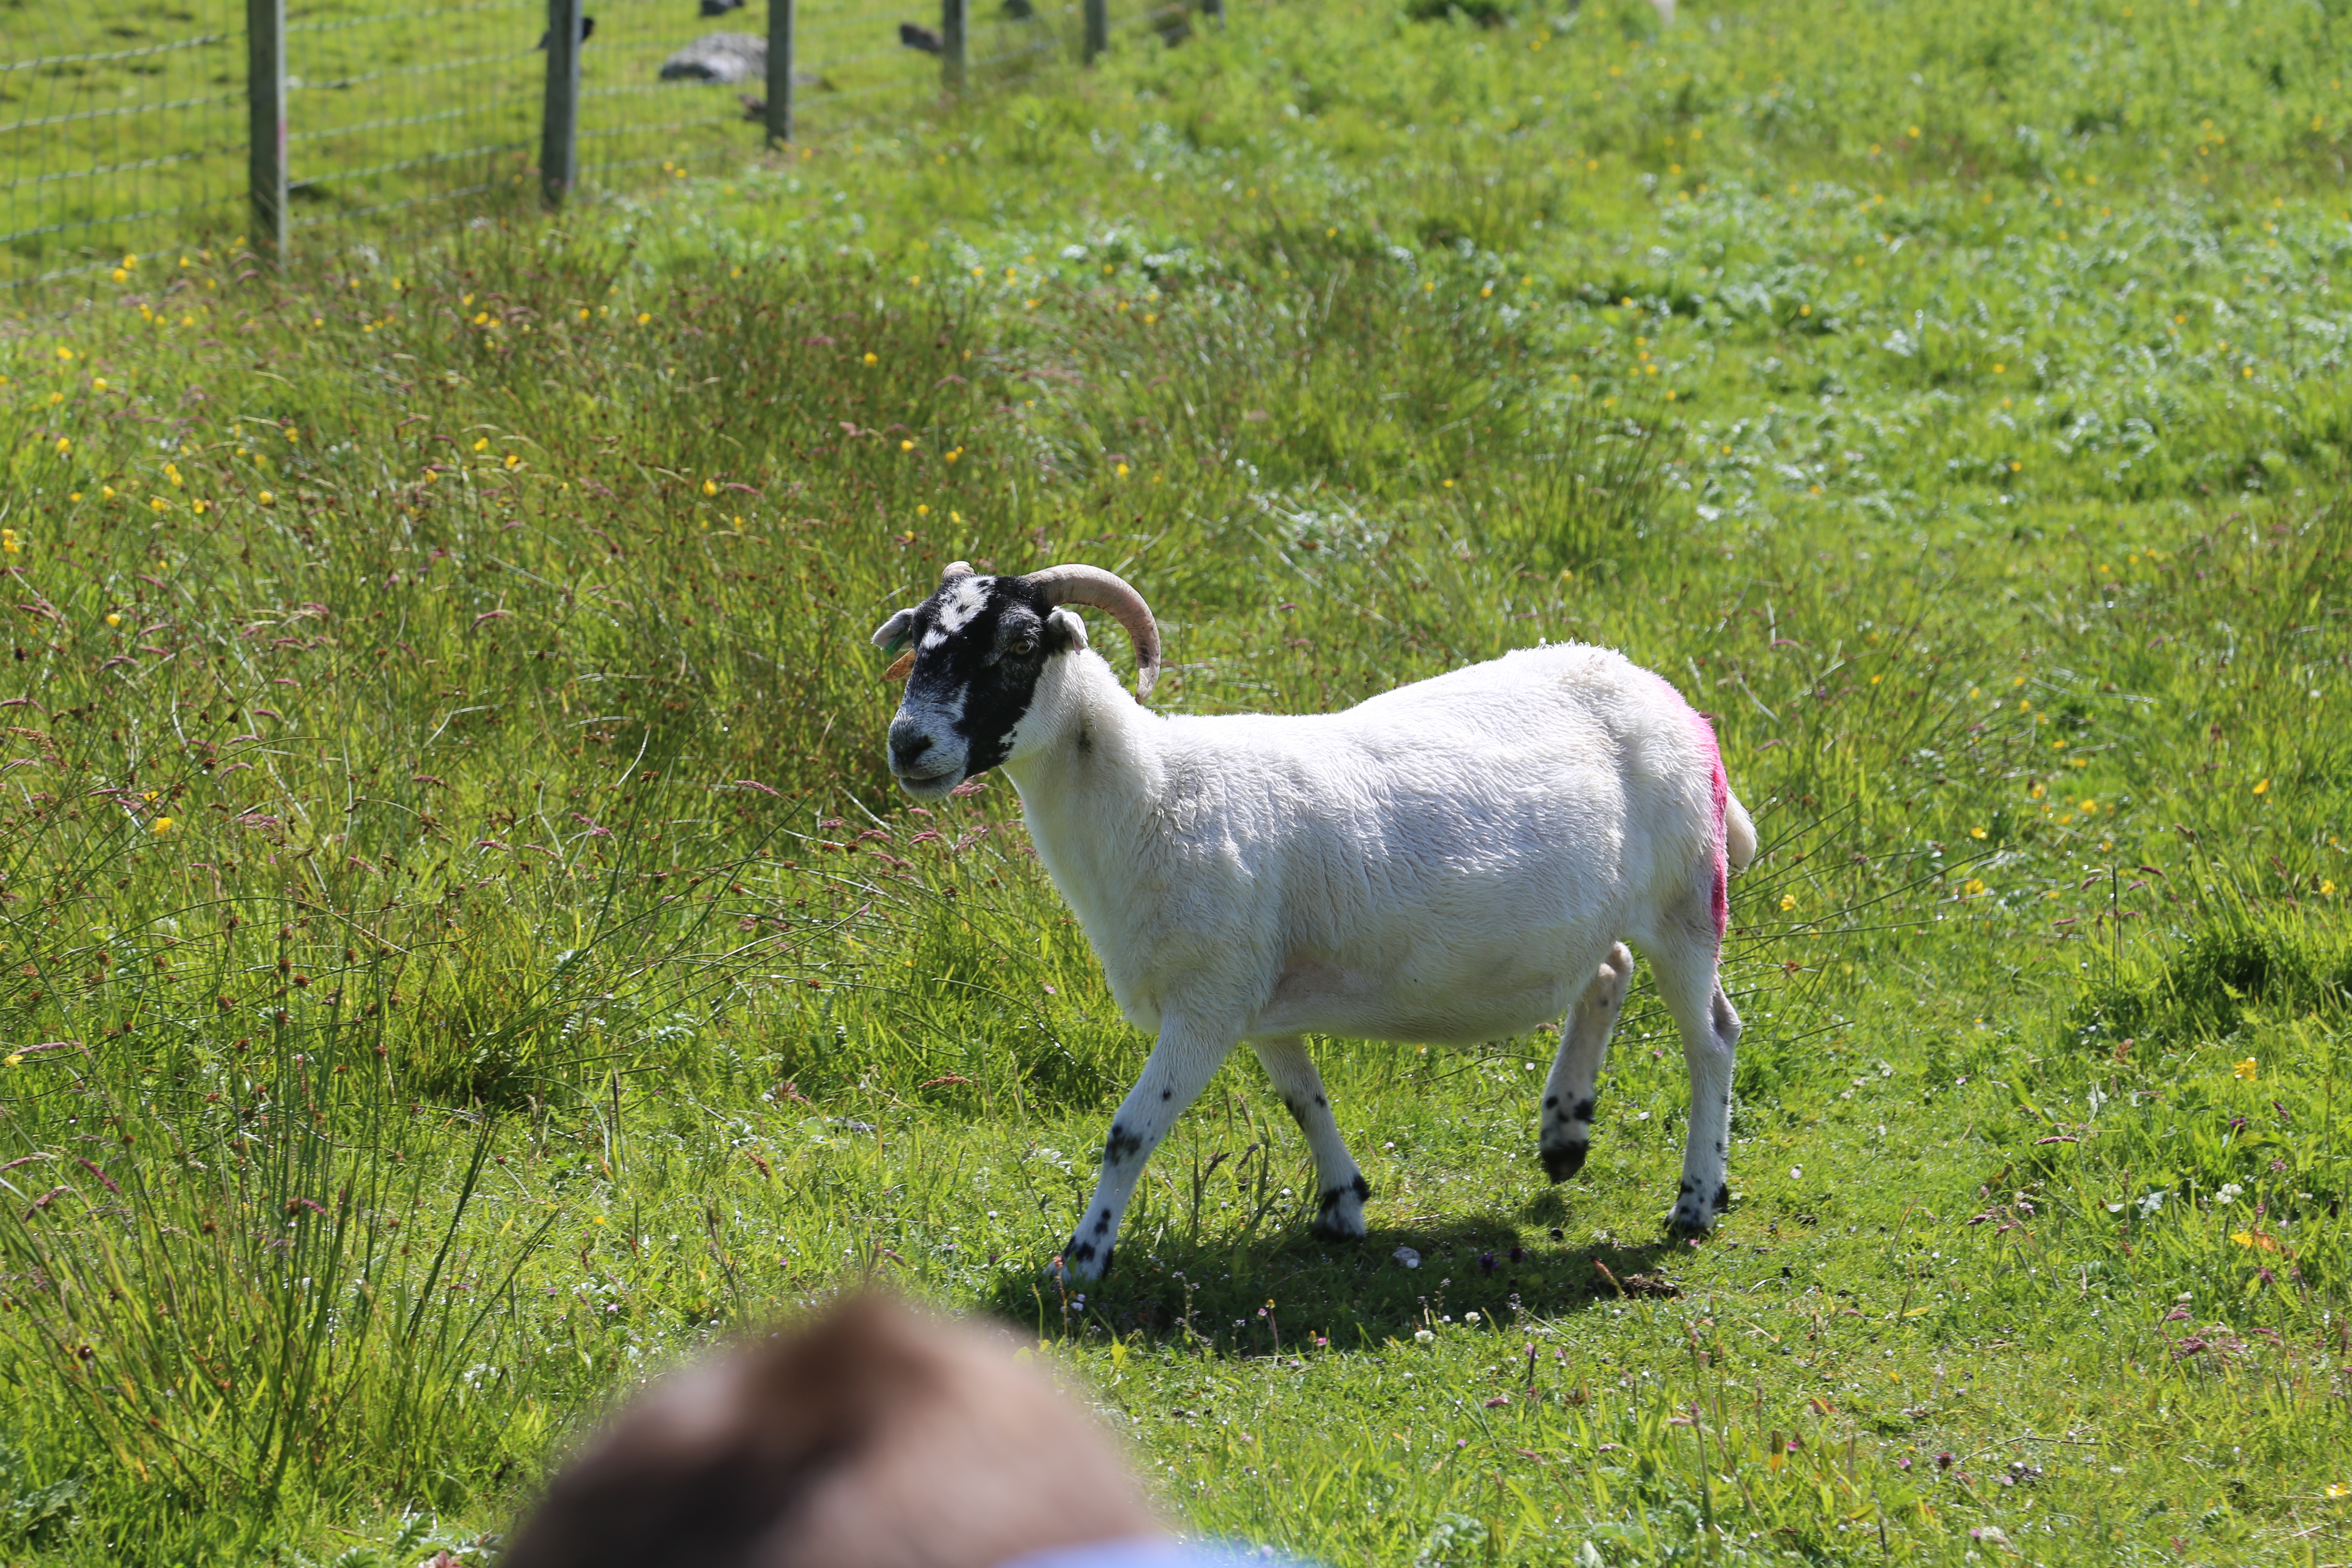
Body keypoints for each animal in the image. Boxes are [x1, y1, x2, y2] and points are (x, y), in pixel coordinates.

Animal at [875, 562, 1759, 1279]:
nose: (907, 744)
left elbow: (1130, 1132)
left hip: (1687, 896)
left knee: (1713, 1037)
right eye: (919, 637)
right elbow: (1305, 1101)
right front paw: (1343, 1205)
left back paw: (1695, 1200)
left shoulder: (1206, 1003)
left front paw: (1083, 1257)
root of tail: (1668, 696)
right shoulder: (1257, 999)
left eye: (1019, 645)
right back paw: (1564, 1133)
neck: (1152, 793)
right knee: (1609, 969)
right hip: (1592, 913)